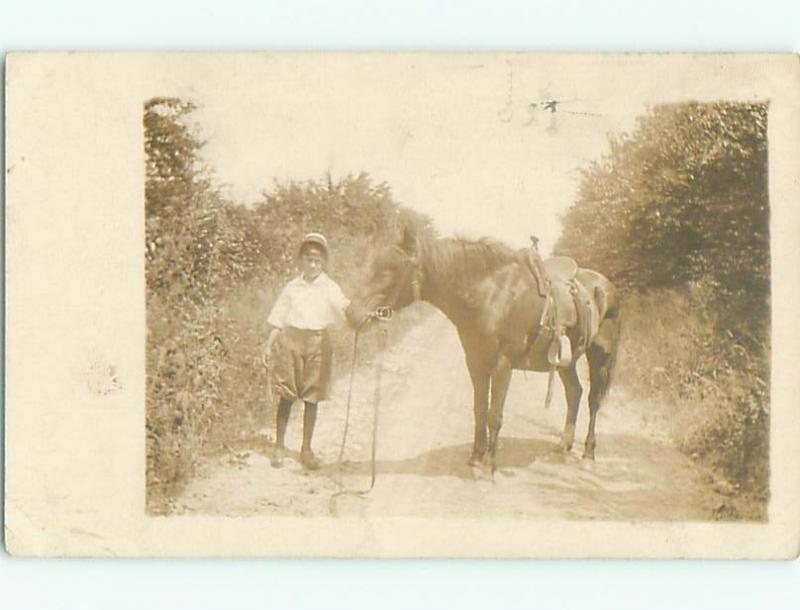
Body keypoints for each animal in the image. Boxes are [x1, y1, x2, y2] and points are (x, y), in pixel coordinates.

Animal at [354, 224, 620, 470]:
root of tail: (607, 286)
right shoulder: (475, 361)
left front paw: (490, 465)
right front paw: (476, 456)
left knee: (593, 400)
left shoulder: (503, 363)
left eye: (393, 269)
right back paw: (564, 445)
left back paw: (588, 453)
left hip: (599, 357)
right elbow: (480, 409)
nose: (352, 314)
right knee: (574, 393)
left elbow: (495, 414)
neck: (492, 295)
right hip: (567, 361)